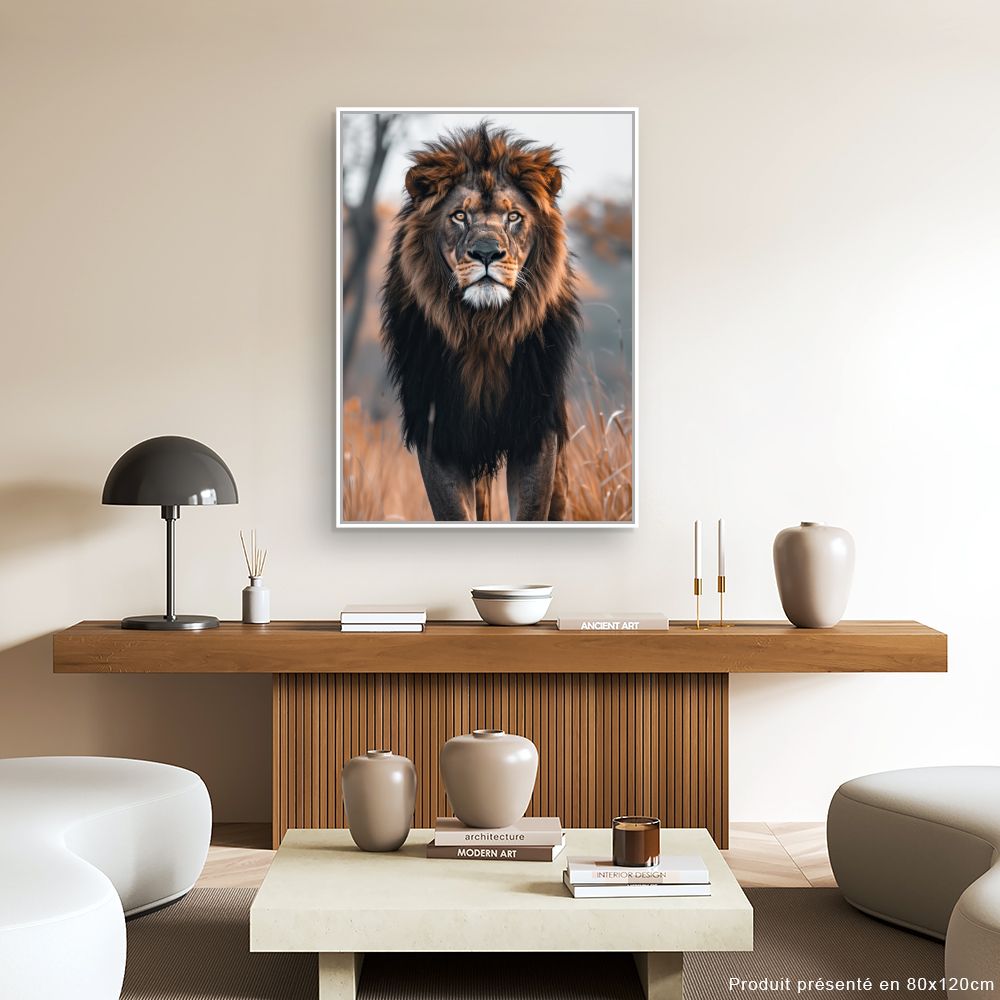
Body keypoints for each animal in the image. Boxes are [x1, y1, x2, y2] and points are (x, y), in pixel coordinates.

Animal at [379, 121, 580, 521]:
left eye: (513, 217)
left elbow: (532, 511)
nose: (487, 253)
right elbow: (455, 513)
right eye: (460, 215)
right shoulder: (438, 432)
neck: (483, 329)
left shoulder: (536, 431)